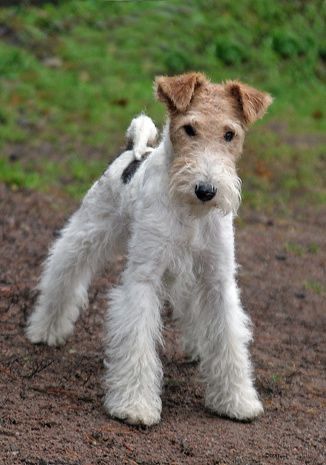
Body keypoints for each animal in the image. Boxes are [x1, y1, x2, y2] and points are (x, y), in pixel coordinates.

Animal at [26, 71, 272, 424]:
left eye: (230, 134)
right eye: (189, 128)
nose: (206, 190)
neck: (190, 213)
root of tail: (135, 151)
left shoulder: (217, 278)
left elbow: (228, 339)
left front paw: (237, 400)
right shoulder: (144, 275)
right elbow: (138, 338)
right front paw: (135, 406)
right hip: (88, 232)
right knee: (63, 272)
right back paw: (46, 328)